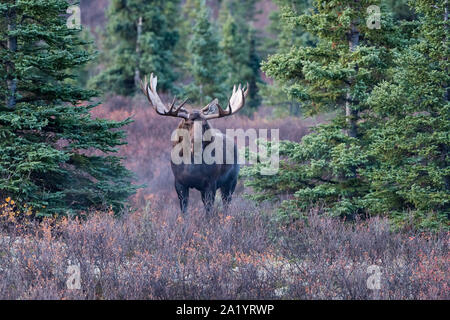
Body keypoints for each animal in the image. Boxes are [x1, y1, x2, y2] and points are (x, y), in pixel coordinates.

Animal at [140, 74, 248, 215]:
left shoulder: (211, 183)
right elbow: (184, 210)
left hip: (231, 181)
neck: (191, 167)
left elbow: (208, 211)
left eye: (204, 124)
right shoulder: (179, 183)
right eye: (187, 123)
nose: (196, 143)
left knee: (226, 203)